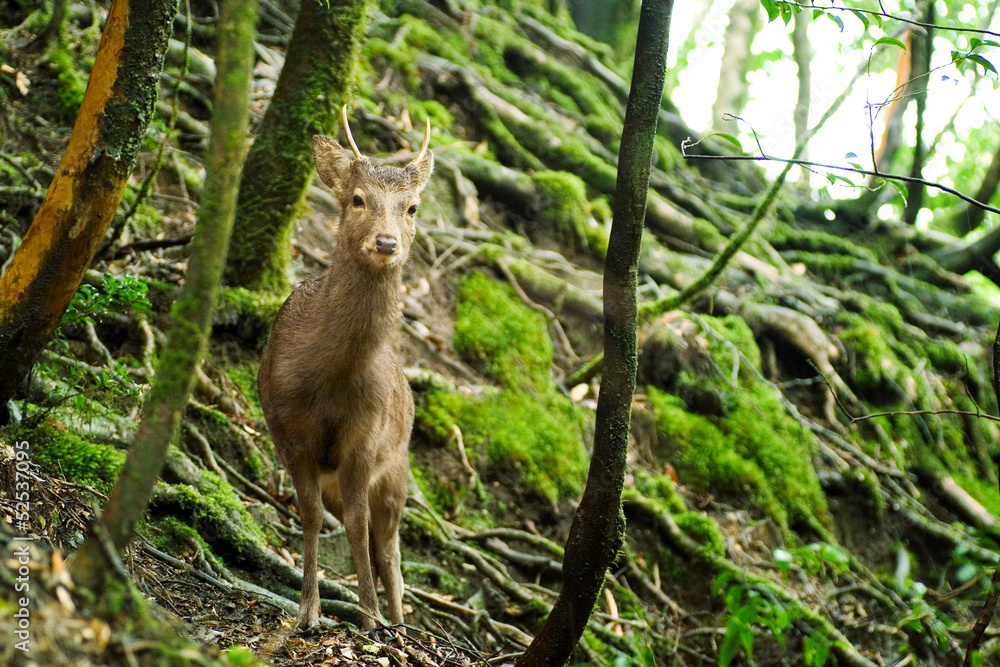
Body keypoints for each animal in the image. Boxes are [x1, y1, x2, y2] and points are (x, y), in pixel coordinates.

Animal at [257, 106, 433, 630]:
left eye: (412, 207)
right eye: (356, 199)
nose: (387, 241)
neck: (328, 380)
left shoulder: (366, 437)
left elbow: (357, 525)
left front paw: (369, 617)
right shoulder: (287, 429)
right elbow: (311, 515)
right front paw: (308, 611)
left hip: (397, 472)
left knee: (390, 551)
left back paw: (397, 621)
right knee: (377, 543)